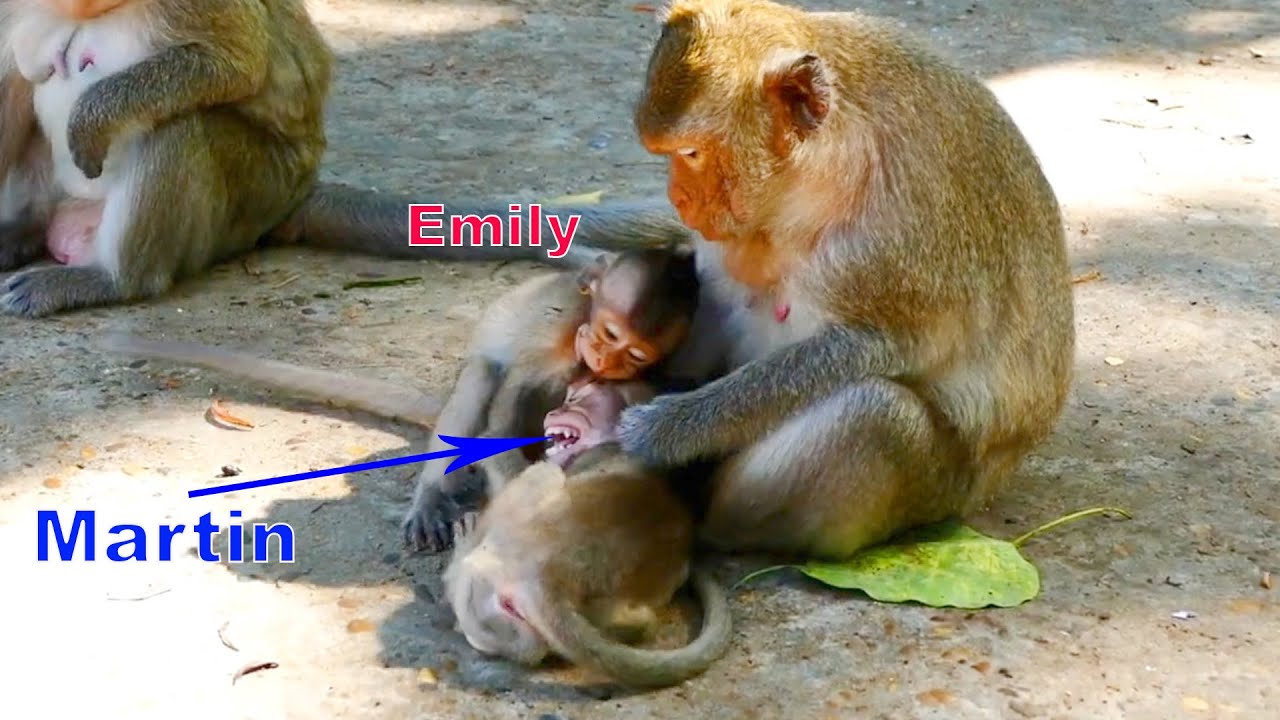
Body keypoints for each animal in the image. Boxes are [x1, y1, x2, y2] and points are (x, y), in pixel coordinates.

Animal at [99, 246, 702, 551]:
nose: (604, 359)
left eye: (634, 353)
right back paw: (434, 495)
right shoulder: (554, 341)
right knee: (480, 381)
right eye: (608, 334)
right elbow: (499, 422)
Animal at [606, 0, 1075, 561]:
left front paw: (667, 429)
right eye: (669, 154)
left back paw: (708, 520)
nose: (678, 197)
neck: (830, 163)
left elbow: (884, 345)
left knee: (877, 416)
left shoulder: (901, 237)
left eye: (692, 152)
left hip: (940, 490)